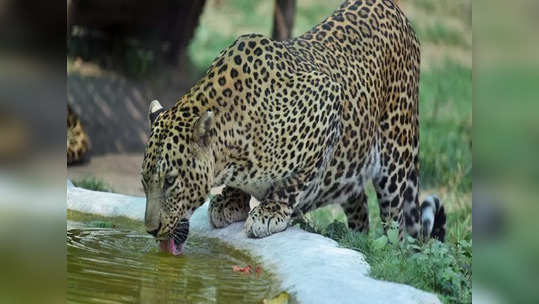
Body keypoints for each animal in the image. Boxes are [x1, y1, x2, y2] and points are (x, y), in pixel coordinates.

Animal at [140, 0, 448, 255]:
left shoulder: (328, 100)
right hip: (353, 162)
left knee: (397, 225)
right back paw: (356, 240)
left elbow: (293, 182)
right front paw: (231, 201)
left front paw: (268, 212)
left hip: (396, 153)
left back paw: (391, 251)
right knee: (359, 205)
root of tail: (393, 9)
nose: (151, 230)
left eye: (170, 181)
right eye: (144, 182)